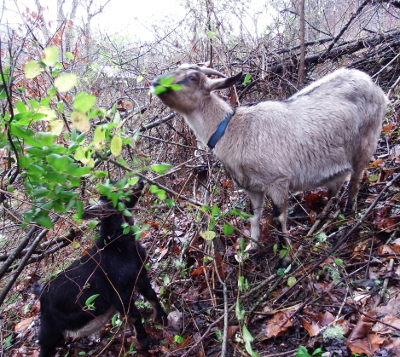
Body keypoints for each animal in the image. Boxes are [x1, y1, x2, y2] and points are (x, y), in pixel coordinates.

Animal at [33, 182, 166, 354]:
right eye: (116, 193)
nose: (140, 182)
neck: (116, 246)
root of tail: (40, 291)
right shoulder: (120, 292)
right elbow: (134, 315)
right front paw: (145, 342)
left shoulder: (141, 276)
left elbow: (152, 296)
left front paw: (162, 318)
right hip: (48, 328)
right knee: (44, 345)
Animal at [152, 64, 390, 262]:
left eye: (192, 77)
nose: (155, 82)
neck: (231, 129)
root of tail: (368, 80)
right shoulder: (253, 187)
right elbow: (253, 217)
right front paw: (251, 248)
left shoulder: (277, 181)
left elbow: (278, 218)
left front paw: (286, 258)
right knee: (338, 182)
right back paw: (326, 214)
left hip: (366, 139)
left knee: (356, 177)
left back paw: (350, 209)